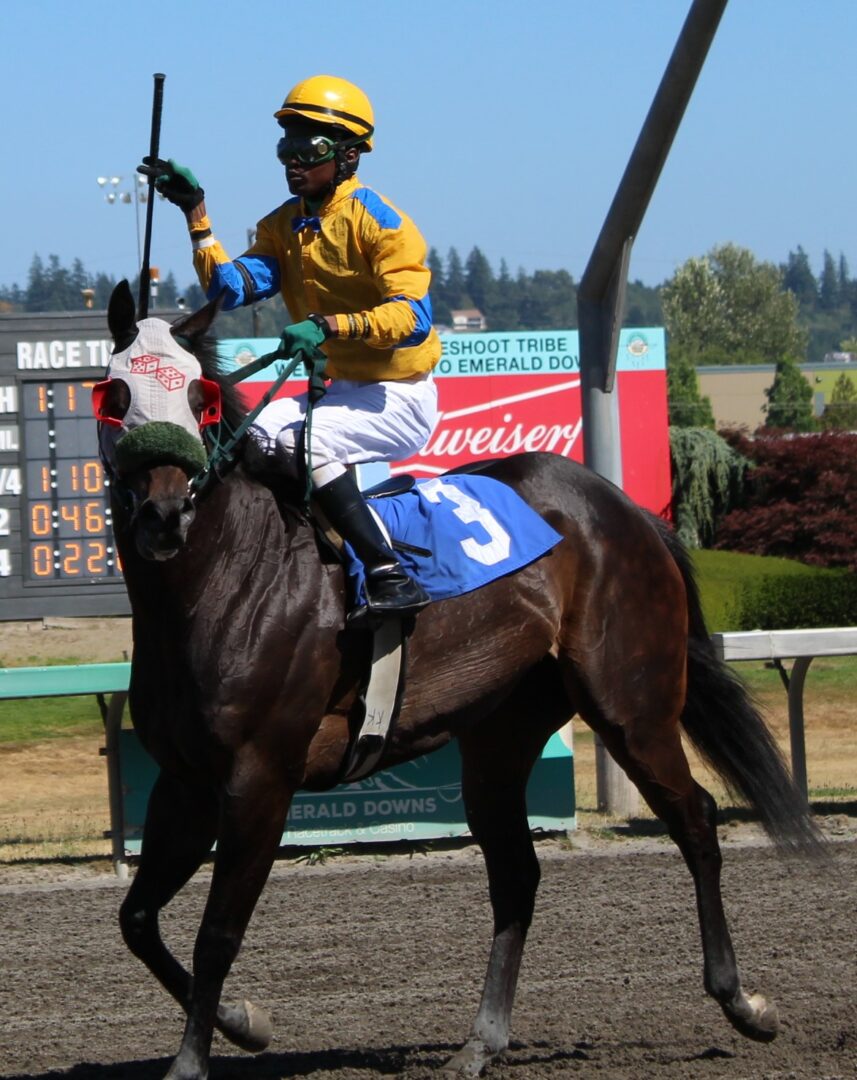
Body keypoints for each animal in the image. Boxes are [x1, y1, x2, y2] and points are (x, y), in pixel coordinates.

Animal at [96, 280, 823, 1080]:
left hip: (632, 706)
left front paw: (193, 1059)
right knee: (516, 874)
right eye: (115, 394)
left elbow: (217, 933)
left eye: (200, 399)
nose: (165, 515)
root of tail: (622, 506)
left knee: (694, 820)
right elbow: (136, 919)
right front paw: (242, 1022)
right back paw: (482, 1038)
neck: (223, 581)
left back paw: (741, 1001)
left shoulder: (260, 779)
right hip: (501, 733)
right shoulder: (186, 780)